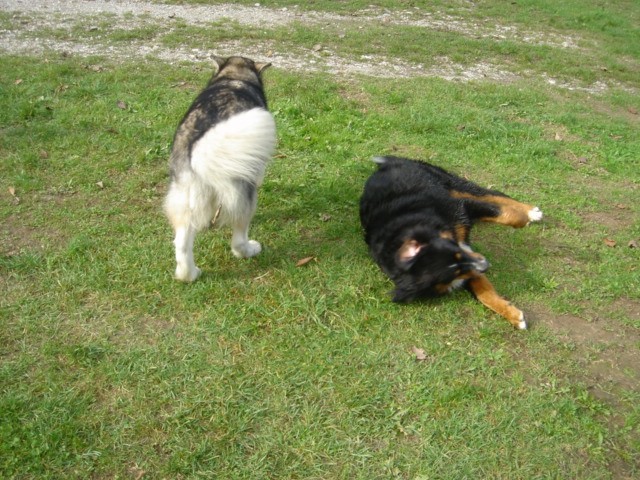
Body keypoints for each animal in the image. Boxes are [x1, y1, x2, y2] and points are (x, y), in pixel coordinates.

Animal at [162, 55, 276, 282]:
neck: (234, 77)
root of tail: (197, 151)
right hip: (243, 195)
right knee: (238, 240)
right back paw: (250, 249)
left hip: (184, 197)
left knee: (181, 243)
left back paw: (189, 274)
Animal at [358, 156, 544, 328]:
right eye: (455, 272)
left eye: (456, 252)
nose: (486, 265)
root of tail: (386, 163)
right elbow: (483, 292)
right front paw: (512, 315)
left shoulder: (460, 208)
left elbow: (501, 212)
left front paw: (524, 218)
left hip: (450, 183)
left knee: (492, 194)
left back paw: (531, 211)